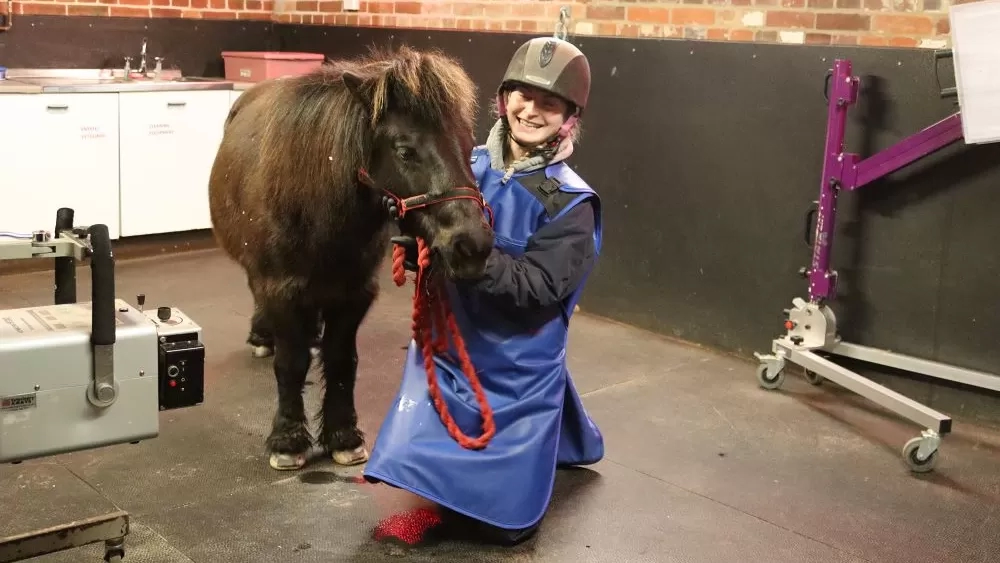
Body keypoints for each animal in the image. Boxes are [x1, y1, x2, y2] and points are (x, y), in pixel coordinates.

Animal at [207, 45, 496, 471]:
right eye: (405, 151)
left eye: (467, 146)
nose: (472, 244)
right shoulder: (281, 290)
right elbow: (290, 364)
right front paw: (288, 441)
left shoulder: (354, 294)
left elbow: (343, 360)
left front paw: (342, 435)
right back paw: (263, 334)